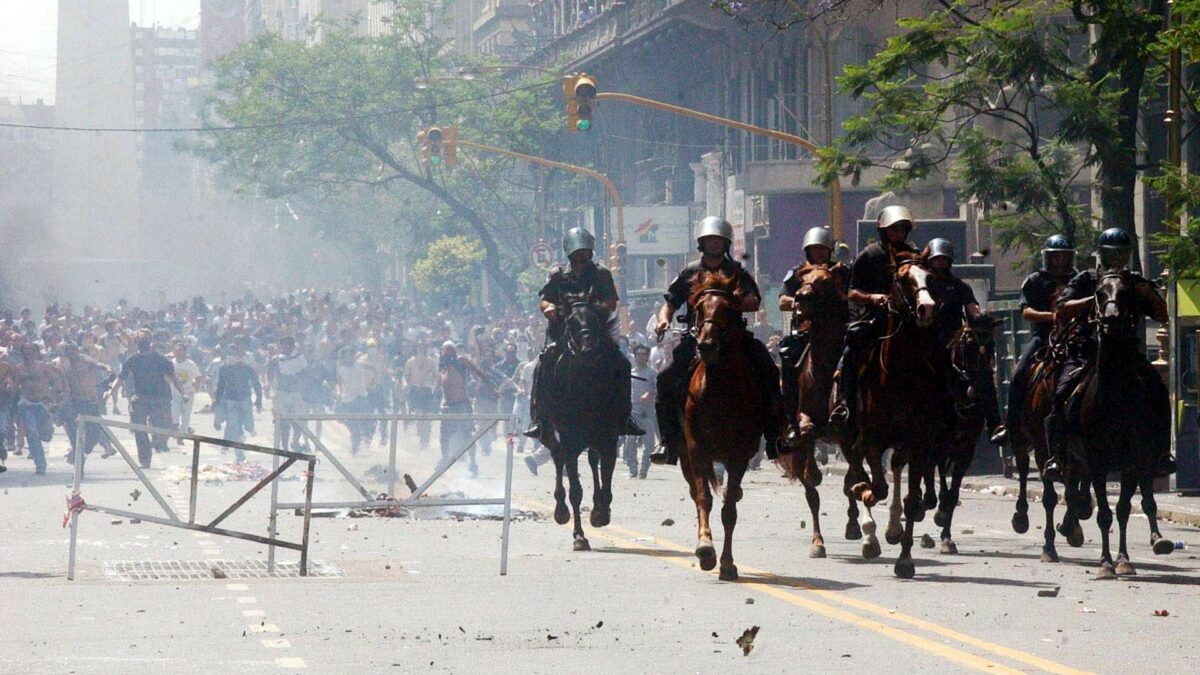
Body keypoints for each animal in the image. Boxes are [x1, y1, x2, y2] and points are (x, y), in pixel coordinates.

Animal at [547, 291, 624, 550]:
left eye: (595, 318)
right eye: (570, 322)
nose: (589, 350)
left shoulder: (609, 440)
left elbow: (607, 486)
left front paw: (600, 514)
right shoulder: (570, 442)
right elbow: (575, 491)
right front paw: (579, 536)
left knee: (592, 460)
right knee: (557, 458)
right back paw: (560, 510)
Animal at [777, 263, 854, 557]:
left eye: (825, 282)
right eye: (802, 280)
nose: (800, 299)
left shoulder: (846, 432)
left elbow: (852, 481)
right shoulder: (804, 419)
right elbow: (807, 430)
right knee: (812, 492)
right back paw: (818, 542)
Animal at [849, 249, 950, 576]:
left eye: (930, 277)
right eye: (903, 279)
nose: (926, 309)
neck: (898, 374)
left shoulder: (918, 443)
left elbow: (910, 497)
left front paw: (905, 558)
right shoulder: (872, 439)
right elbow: (877, 488)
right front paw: (864, 492)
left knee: (895, 467)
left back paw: (891, 529)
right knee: (860, 466)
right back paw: (869, 531)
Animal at [1070, 270, 1171, 576]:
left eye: (1126, 293)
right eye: (1099, 293)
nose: (1112, 320)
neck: (1114, 396)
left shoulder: (1133, 460)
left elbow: (1124, 509)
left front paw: (1124, 560)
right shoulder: (1097, 461)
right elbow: (1104, 513)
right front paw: (1105, 563)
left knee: (1146, 496)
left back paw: (1158, 538)